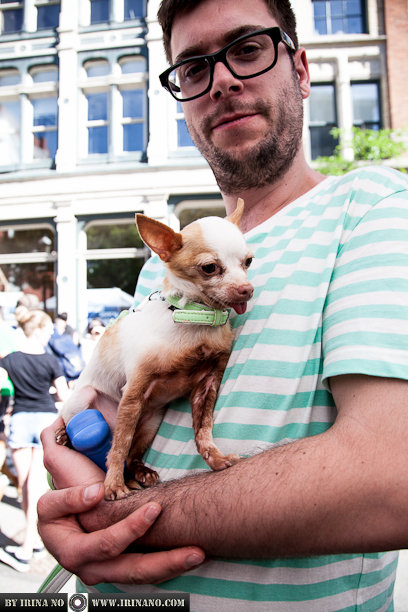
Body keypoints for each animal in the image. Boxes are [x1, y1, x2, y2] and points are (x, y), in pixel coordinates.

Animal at [55, 198, 253, 500]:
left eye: (248, 261)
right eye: (209, 267)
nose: (247, 289)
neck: (194, 317)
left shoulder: (208, 384)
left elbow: (203, 429)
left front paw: (215, 459)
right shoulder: (134, 393)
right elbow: (119, 446)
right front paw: (113, 484)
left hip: (150, 422)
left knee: (133, 453)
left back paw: (141, 472)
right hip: (85, 400)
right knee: (103, 435)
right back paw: (66, 436)